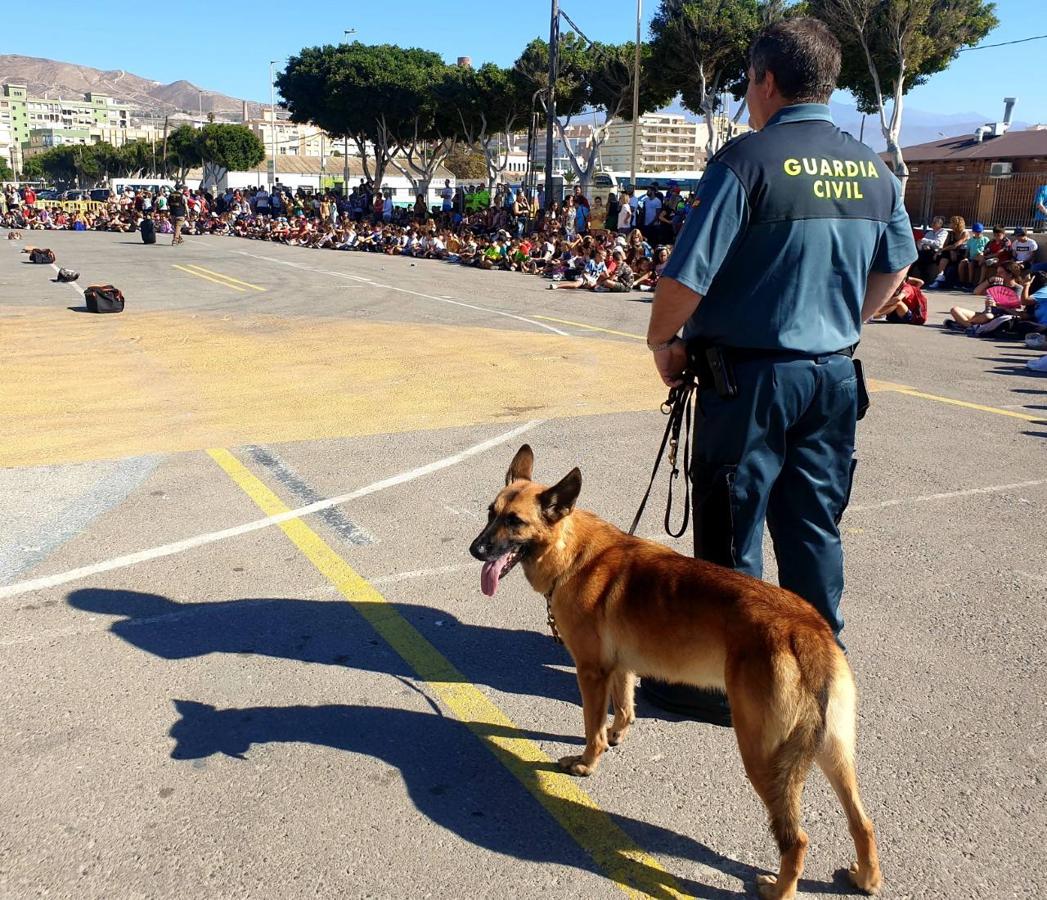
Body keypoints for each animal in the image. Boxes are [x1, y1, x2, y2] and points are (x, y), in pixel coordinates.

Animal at [471, 445, 879, 895]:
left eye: (515, 522)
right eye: (491, 513)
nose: (475, 550)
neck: (572, 553)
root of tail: (806, 629)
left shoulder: (591, 673)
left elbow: (592, 727)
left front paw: (587, 762)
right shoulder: (621, 669)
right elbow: (624, 709)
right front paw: (616, 736)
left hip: (762, 757)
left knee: (797, 839)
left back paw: (779, 889)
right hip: (834, 752)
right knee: (863, 822)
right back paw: (866, 877)